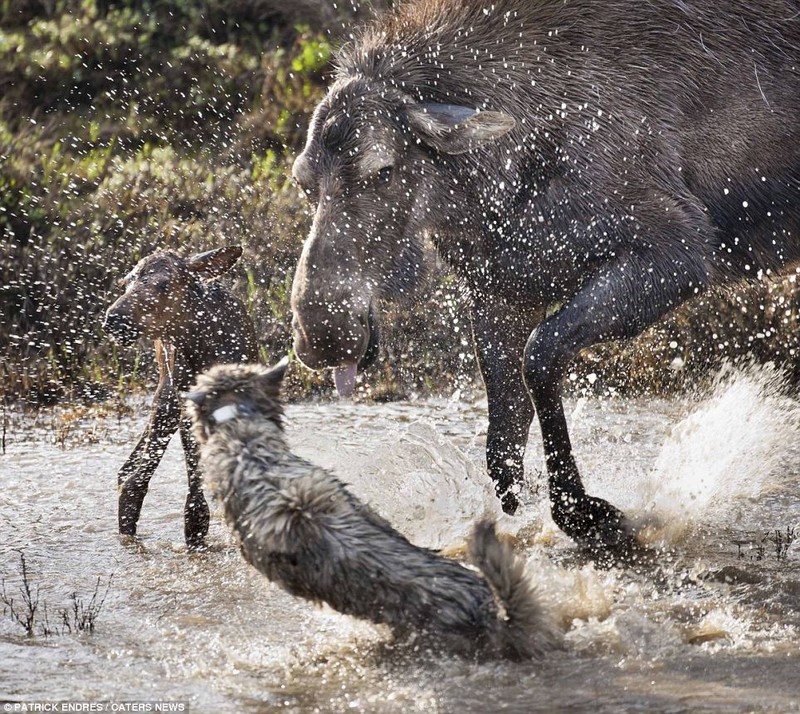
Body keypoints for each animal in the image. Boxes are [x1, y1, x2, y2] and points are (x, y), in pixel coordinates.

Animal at [290, 0, 800, 556]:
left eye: (382, 170)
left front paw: (586, 514)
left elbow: (540, 358)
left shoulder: (676, 251)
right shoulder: (504, 289)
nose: (320, 335)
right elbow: (501, 441)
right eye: (303, 182)